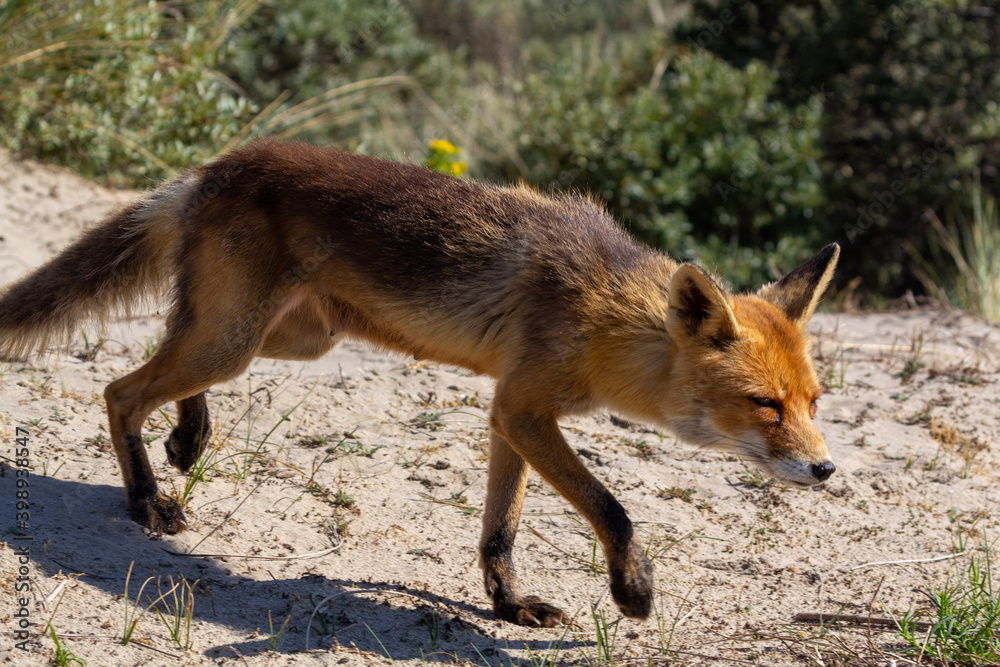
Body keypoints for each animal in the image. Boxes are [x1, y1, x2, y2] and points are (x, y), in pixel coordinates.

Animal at [0, 141, 838, 627]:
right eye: (765, 405)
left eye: (813, 402)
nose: (827, 468)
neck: (606, 315)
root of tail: (224, 161)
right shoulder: (525, 407)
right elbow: (614, 506)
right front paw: (632, 588)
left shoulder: (512, 415)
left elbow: (499, 530)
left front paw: (508, 605)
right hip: (237, 339)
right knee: (119, 390)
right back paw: (146, 498)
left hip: (282, 338)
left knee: (163, 355)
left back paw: (186, 435)